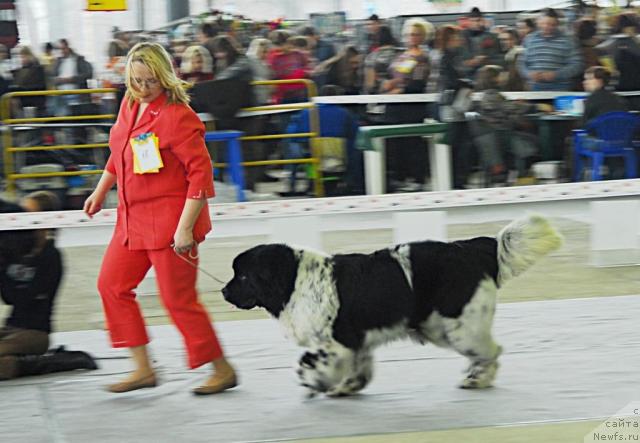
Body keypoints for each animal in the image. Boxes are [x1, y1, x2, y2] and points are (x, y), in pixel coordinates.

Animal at [222, 213, 564, 398]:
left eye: (243, 275)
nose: (224, 291)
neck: (293, 281)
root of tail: (473, 249)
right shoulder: (356, 342)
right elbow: (358, 368)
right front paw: (347, 387)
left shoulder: (334, 342)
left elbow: (311, 363)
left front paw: (313, 382)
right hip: (441, 326)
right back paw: (474, 375)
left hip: (460, 327)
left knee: (491, 351)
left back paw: (478, 379)